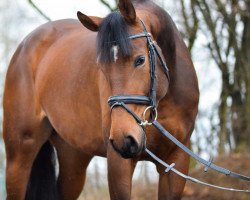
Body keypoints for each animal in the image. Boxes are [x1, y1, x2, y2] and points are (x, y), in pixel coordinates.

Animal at [2, 0, 199, 200]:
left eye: (140, 60)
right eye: (101, 66)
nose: (124, 138)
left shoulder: (176, 161)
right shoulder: (118, 162)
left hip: (73, 159)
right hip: (19, 154)